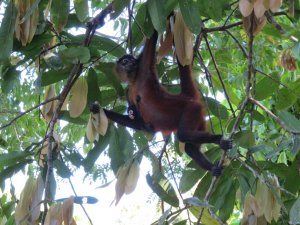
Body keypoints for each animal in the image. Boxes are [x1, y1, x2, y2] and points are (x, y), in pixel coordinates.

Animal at [91, 30, 232, 177]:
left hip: (192, 109)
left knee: (183, 135)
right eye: (125, 61)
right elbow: (136, 122)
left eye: (132, 60)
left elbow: (152, 38)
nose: (130, 63)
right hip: (199, 118)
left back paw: (219, 139)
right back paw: (213, 168)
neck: (135, 80)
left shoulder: (144, 65)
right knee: (189, 146)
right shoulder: (128, 91)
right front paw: (97, 109)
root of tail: (184, 97)